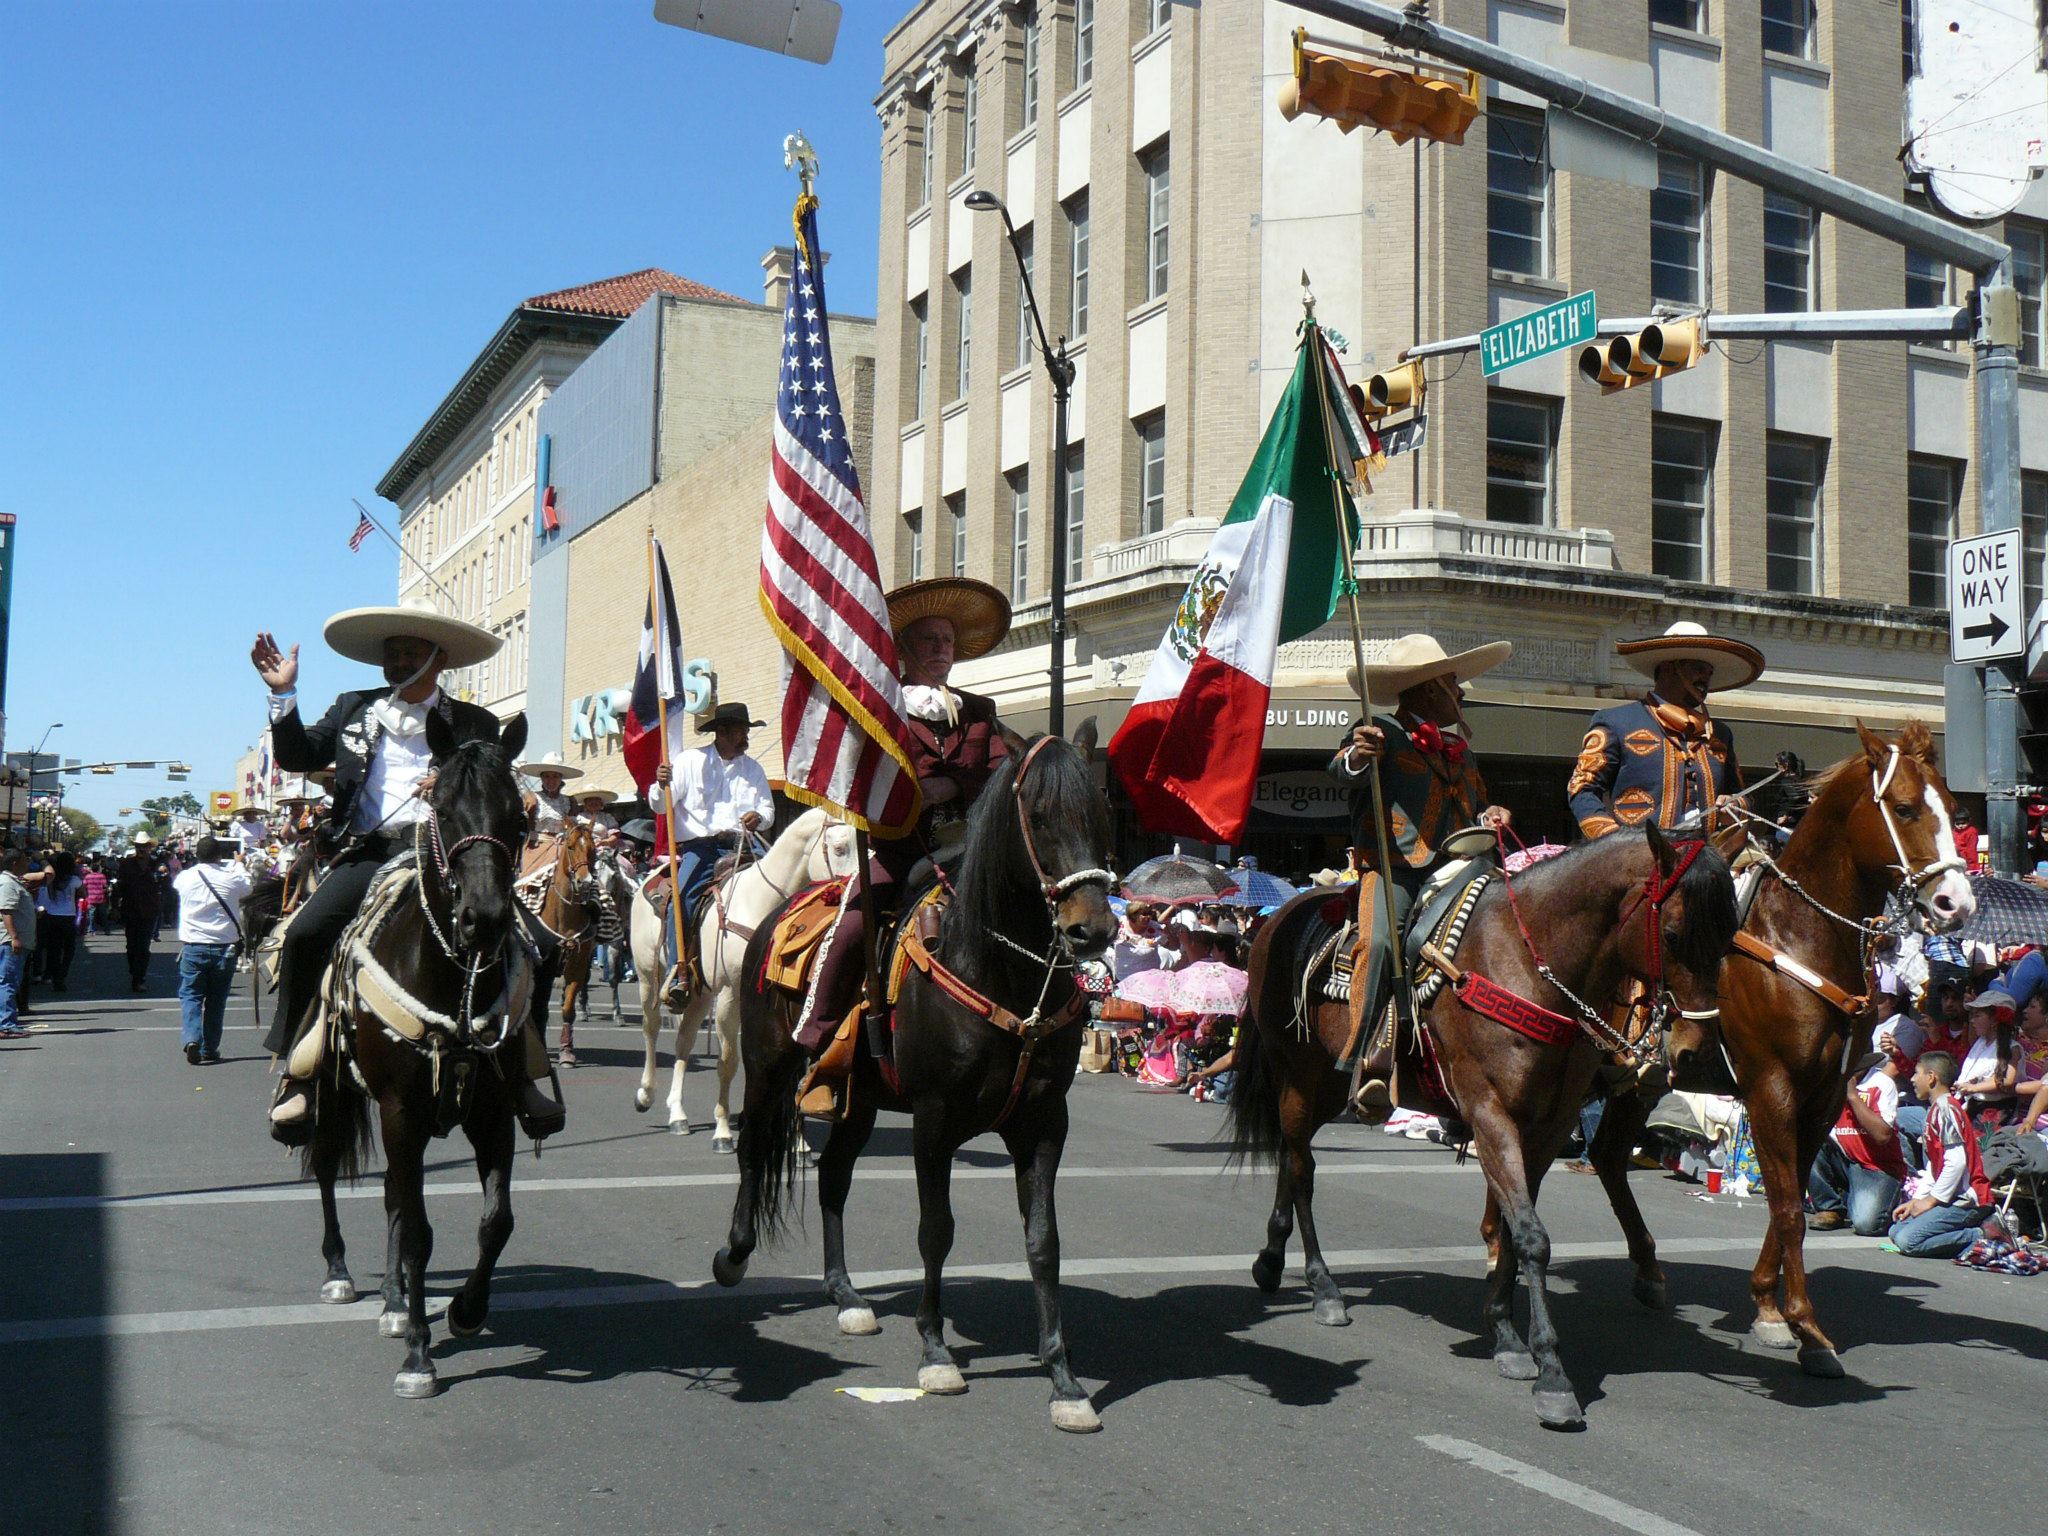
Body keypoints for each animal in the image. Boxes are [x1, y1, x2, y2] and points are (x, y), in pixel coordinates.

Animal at [301, 716, 532, 1400]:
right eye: (445, 812)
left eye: (519, 818)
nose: (484, 919)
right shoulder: (400, 1110)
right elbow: (421, 1231)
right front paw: (420, 1358)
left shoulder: (492, 1113)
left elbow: (494, 1222)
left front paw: (467, 1310)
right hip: (337, 1094)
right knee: (329, 1168)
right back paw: (342, 1274)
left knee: (393, 1199)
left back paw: (397, 1304)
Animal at [622, 811, 847, 1146]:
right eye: (840, 848)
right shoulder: (731, 993)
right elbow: (728, 1062)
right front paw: (723, 1131)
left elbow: (796, 1068)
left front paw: (799, 1143)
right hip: (649, 972)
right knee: (651, 1028)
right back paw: (645, 1095)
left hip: (701, 992)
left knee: (684, 1040)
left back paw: (678, 1114)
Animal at [708, 729, 1122, 1441]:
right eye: (1039, 817)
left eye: (1100, 812)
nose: (1091, 930)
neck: (997, 971)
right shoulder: (935, 1118)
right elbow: (937, 1230)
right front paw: (935, 1353)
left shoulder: (1044, 1124)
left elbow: (1043, 1243)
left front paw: (1063, 1381)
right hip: (767, 1068)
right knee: (753, 1151)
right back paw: (734, 1257)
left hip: (858, 1100)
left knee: (834, 1176)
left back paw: (846, 1294)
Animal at [1220, 823, 1736, 1441]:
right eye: (1676, 934)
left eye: (1731, 938)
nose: (1697, 1058)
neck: (1530, 965)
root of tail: (1276, 919)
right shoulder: (1491, 1114)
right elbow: (1531, 1236)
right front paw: (1552, 1375)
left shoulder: (1546, 1127)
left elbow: (1514, 1228)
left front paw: (1506, 1336)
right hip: (1298, 1076)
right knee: (1302, 1171)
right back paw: (1322, 1288)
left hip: (1327, 1086)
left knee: (1292, 1160)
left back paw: (1272, 1261)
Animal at [1589, 724, 1974, 1384]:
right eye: (1903, 809)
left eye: (1955, 811)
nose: (1958, 902)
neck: (1800, 934)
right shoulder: (1770, 1085)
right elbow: (1790, 1206)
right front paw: (1805, 1328)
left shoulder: (1820, 1096)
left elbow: (1785, 1199)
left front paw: (1769, 1308)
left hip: (1638, 1082)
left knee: (1608, 1157)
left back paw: (1648, 1270)